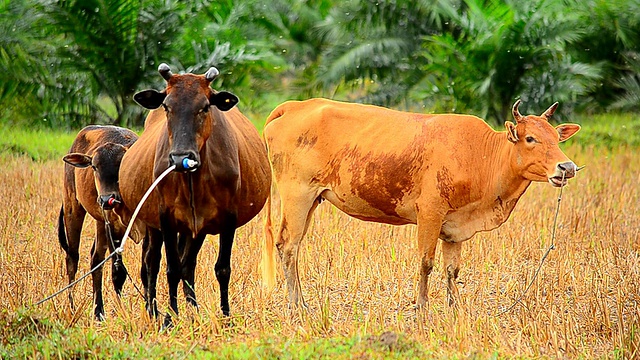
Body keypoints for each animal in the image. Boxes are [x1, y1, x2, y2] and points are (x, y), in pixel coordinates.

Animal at [59, 125, 139, 320]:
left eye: (120, 165)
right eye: (94, 167)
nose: (105, 199)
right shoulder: (112, 228)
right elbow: (118, 272)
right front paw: (121, 312)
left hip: (99, 222)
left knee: (95, 257)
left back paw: (98, 310)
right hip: (73, 208)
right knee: (73, 258)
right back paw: (74, 308)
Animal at [118, 62, 270, 324]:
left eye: (205, 106)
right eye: (167, 106)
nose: (181, 157)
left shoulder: (227, 218)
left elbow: (222, 268)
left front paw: (225, 315)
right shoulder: (165, 217)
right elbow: (171, 269)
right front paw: (170, 317)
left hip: (196, 228)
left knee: (188, 264)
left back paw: (193, 309)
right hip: (154, 225)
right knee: (151, 263)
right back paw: (153, 310)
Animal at [262, 98, 584, 310]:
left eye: (556, 138)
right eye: (530, 138)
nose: (566, 167)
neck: (481, 156)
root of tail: (295, 105)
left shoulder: (455, 227)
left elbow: (452, 270)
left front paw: (455, 307)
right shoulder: (429, 213)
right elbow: (426, 263)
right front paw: (422, 307)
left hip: (312, 200)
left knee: (292, 246)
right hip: (297, 196)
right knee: (288, 246)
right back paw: (297, 304)